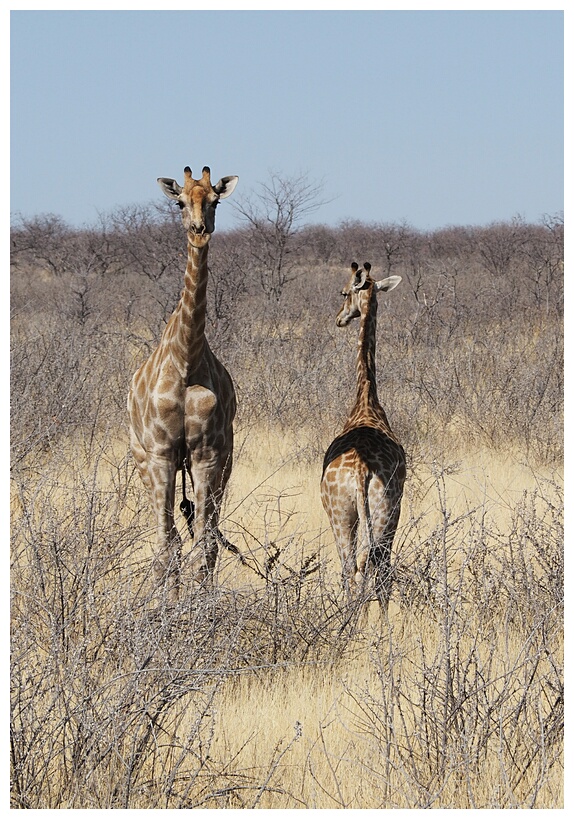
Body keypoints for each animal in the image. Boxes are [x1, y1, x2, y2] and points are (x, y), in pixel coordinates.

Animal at [127, 165, 238, 604]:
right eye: (179, 202)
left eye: (215, 201)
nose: (199, 230)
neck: (187, 359)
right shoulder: (160, 454)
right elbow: (166, 543)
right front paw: (166, 609)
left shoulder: (208, 454)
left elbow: (205, 543)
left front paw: (200, 607)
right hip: (145, 461)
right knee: (170, 538)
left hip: (222, 464)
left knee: (204, 533)